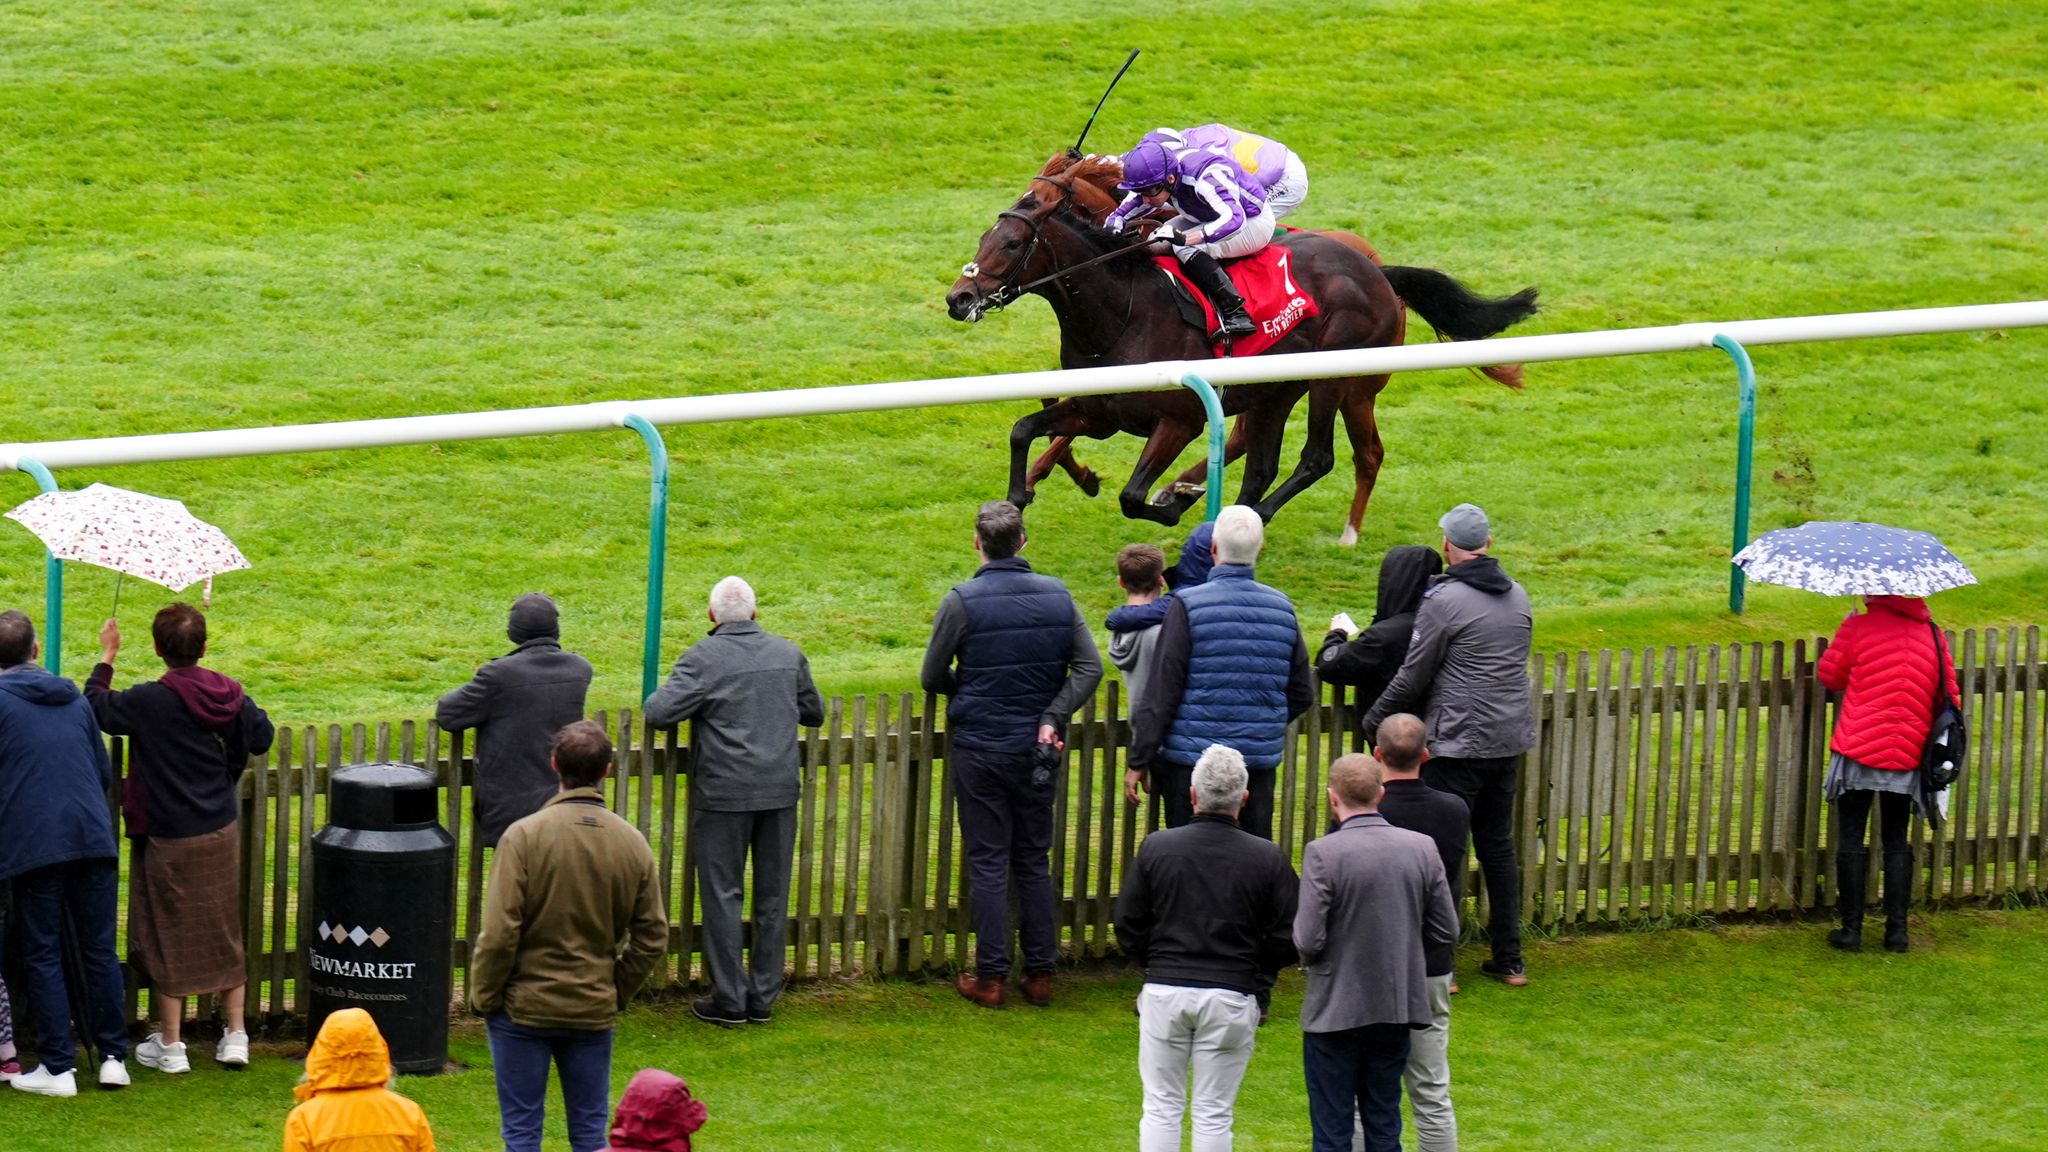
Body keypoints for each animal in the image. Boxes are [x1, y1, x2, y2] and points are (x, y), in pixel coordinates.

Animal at [942, 151, 1540, 524]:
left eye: (1012, 242)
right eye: (985, 235)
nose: (959, 298)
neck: (1121, 313)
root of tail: (1378, 272)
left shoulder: (1179, 420)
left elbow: (1132, 496)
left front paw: (1168, 504)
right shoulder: (1099, 410)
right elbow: (1025, 428)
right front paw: (1020, 496)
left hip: (1334, 377)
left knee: (1318, 458)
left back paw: (1226, 507)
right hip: (1275, 392)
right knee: (1264, 463)